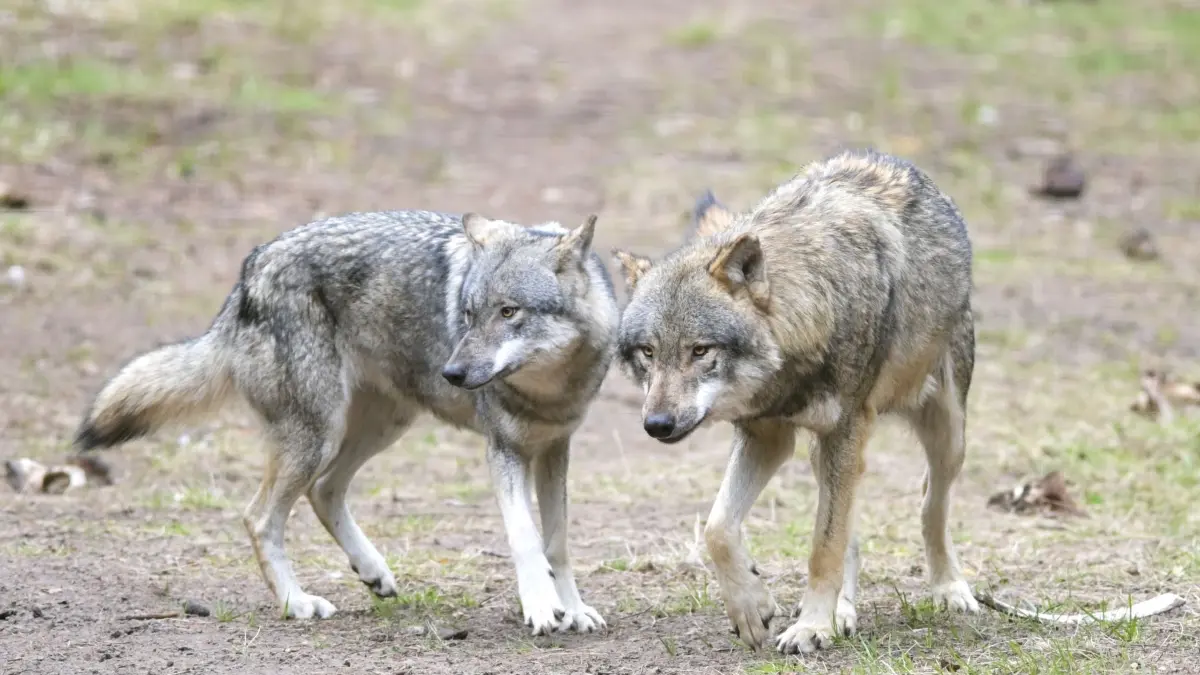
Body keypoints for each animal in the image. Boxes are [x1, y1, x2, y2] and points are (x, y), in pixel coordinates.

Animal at [73, 208, 619, 635]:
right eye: (466, 314)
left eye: (508, 312)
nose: (453, 373)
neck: (549, 390)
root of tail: (251, 269)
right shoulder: (503, 451)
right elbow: (526, 538)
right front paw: (542, 608)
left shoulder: (554, 450)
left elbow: (557, 543)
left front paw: (573, 609)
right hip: (318, 436)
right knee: (259, 516)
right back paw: (297, 604)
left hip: (380, 427)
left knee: (324, 491)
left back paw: (372, 571)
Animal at [612, 149, 979, 654]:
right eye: (648, 352)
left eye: (700, 350)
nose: (658, 425)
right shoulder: (767, 436)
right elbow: (718, 528)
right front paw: (753, 608)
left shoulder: (844, 430)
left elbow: (824, 547)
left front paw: (810, 627)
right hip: (825, 452)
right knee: (852, 531)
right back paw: (844, 611)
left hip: (946, 434)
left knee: (930, 505)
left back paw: (949, 588)